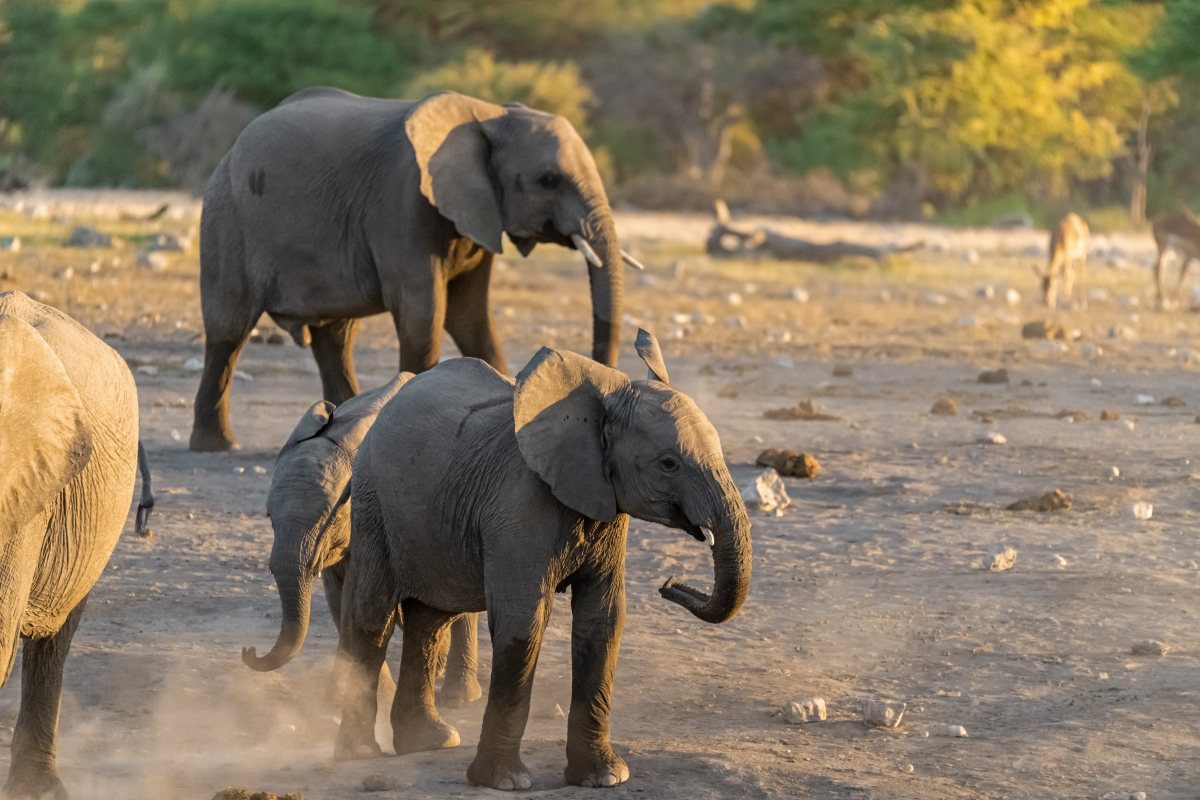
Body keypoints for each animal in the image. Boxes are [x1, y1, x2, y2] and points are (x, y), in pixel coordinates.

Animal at [191, 87, 644, 452]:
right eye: (548, 180)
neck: (489, 114)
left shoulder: (478, 214)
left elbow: (471, 316)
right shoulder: (403, 200)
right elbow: (424, 313)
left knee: (334, 338)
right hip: (226, 215)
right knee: (229, 331)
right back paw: (220, 447)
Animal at [241, 373, 480, 709]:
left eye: (328, 517)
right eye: (269, 517)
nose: (248, 651)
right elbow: (341, 602)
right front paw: (341, 699)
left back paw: (459, 697)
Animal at [335, 329, 752, 791]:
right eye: (668, 463)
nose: (668, 583)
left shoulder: (606, 509)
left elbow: (603, 621)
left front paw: (604, 777)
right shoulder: (518, 504)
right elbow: (524, 621)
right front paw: (504, 783)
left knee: (431, 621)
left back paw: (430, 742)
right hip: (374, 505)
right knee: (373, 618)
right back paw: (359, 754)